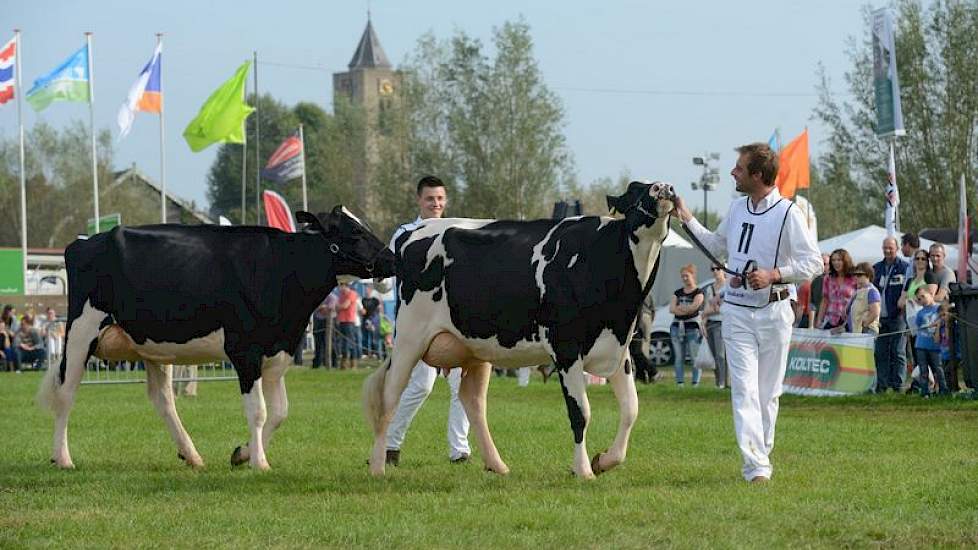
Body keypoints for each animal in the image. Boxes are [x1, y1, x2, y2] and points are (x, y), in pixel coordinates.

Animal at [37, 209, 392, 472]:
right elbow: (259, 411)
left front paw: (243, 453)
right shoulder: (245, 351)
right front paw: (260, 463)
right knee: (66, 393)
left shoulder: (279, 353)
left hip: (152, 347)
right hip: (81, 331)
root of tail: (85, 241)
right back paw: (62, 458)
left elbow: (280, 412)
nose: (390, 257)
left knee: (163, 399)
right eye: (355, 232)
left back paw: (191, 455)